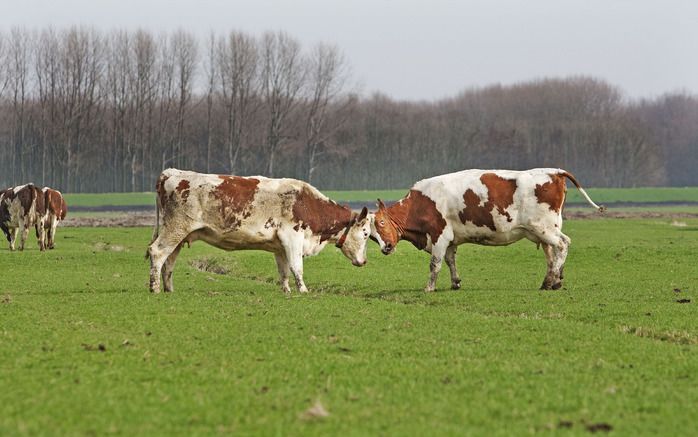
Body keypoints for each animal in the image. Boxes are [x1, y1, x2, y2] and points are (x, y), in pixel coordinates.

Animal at [145, 169, 370, 294]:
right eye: (367, 233)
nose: (365, 261)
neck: (309, 204)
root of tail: (172, 172)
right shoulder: (293, 238)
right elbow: (297, 268)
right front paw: (304, 290)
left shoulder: (280, 247)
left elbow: (284, 271)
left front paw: (287, 291)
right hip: (176, 228)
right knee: (158, 252)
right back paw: (154, 289)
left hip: (179, 234)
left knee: (169, 260)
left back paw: (169, 289)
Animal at [370, 169, 604, 292]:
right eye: (370, 236)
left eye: (381, 223)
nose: (386, 247)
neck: (420, 203)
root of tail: (553, 171)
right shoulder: (451, 239)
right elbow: (450, 261)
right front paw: (455, 282)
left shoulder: (439, 236)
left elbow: (435, 264)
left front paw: (429, 288)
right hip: (544, 230)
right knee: (553, 253)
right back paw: (552, 280)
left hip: (545, 228)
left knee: (563, 244)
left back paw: (553, 281)